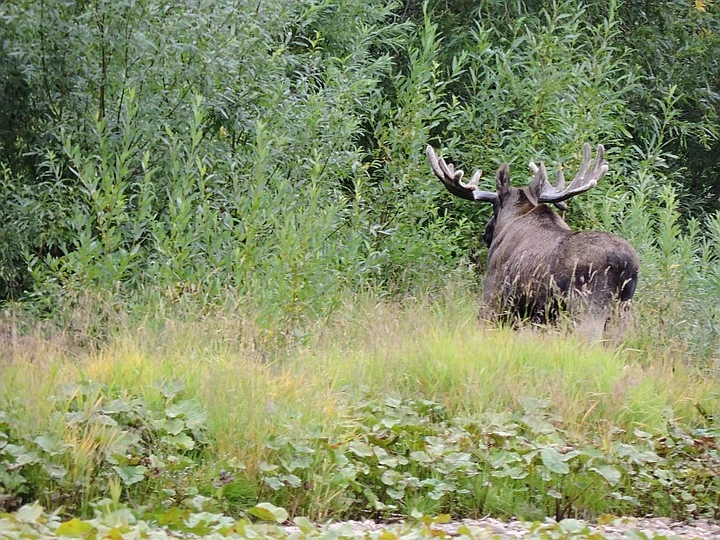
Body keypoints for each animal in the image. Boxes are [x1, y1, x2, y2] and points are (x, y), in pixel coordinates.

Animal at [424, 143, 640, 338]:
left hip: (588, 306)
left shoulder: (492, 299)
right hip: (621, 310)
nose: (486, 233)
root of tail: (625, 264)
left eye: (494, 208)